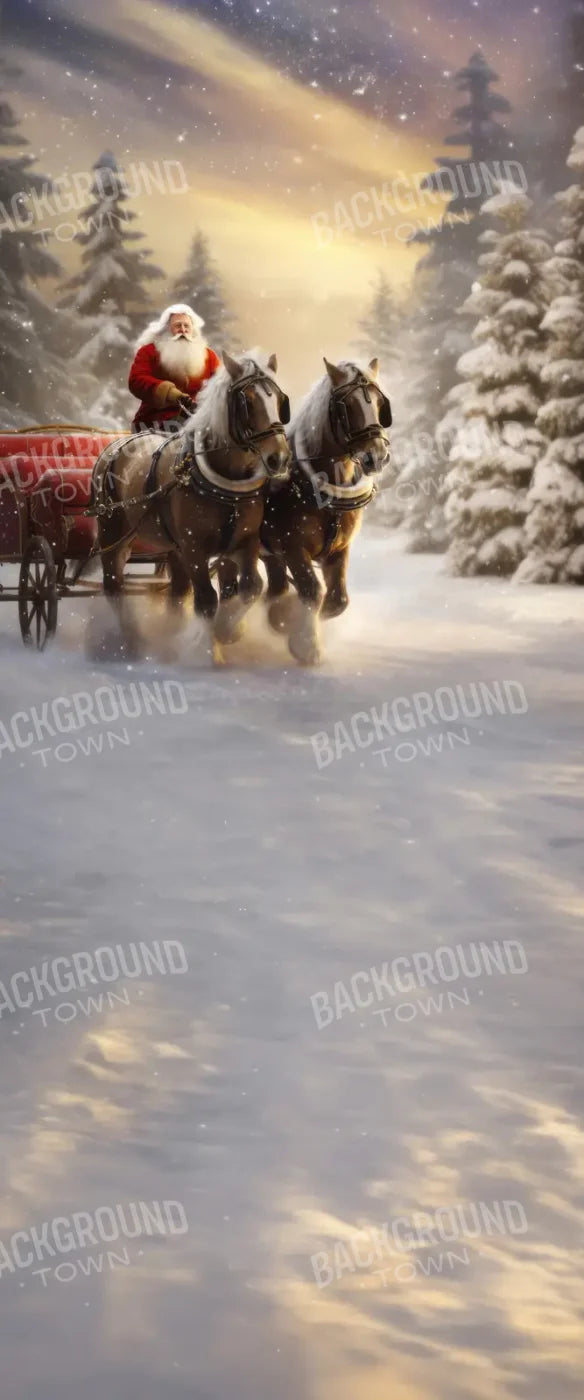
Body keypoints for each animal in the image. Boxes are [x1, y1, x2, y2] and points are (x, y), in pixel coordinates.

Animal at [92, 350, 292, 658]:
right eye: (247, 402)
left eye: (280, 401)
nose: (279, 457)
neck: (226, 484)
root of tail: (113, 448)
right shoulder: (194, 548)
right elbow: (207, 600)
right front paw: (211, 650)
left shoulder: (245, 541)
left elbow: (251, 587)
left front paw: (230, 630)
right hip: (113, 533)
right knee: (114, 585)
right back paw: (133, 641)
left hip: (172, 549)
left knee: (177, 591)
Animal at [261, 356, 391, 664]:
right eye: (348, 406)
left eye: (380, 403)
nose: (377, 456)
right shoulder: (292, 548)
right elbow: (312, 591)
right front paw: (306, 645)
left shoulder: (339, 548)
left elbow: (337, 601)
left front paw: (292, 624)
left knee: (274, 586)